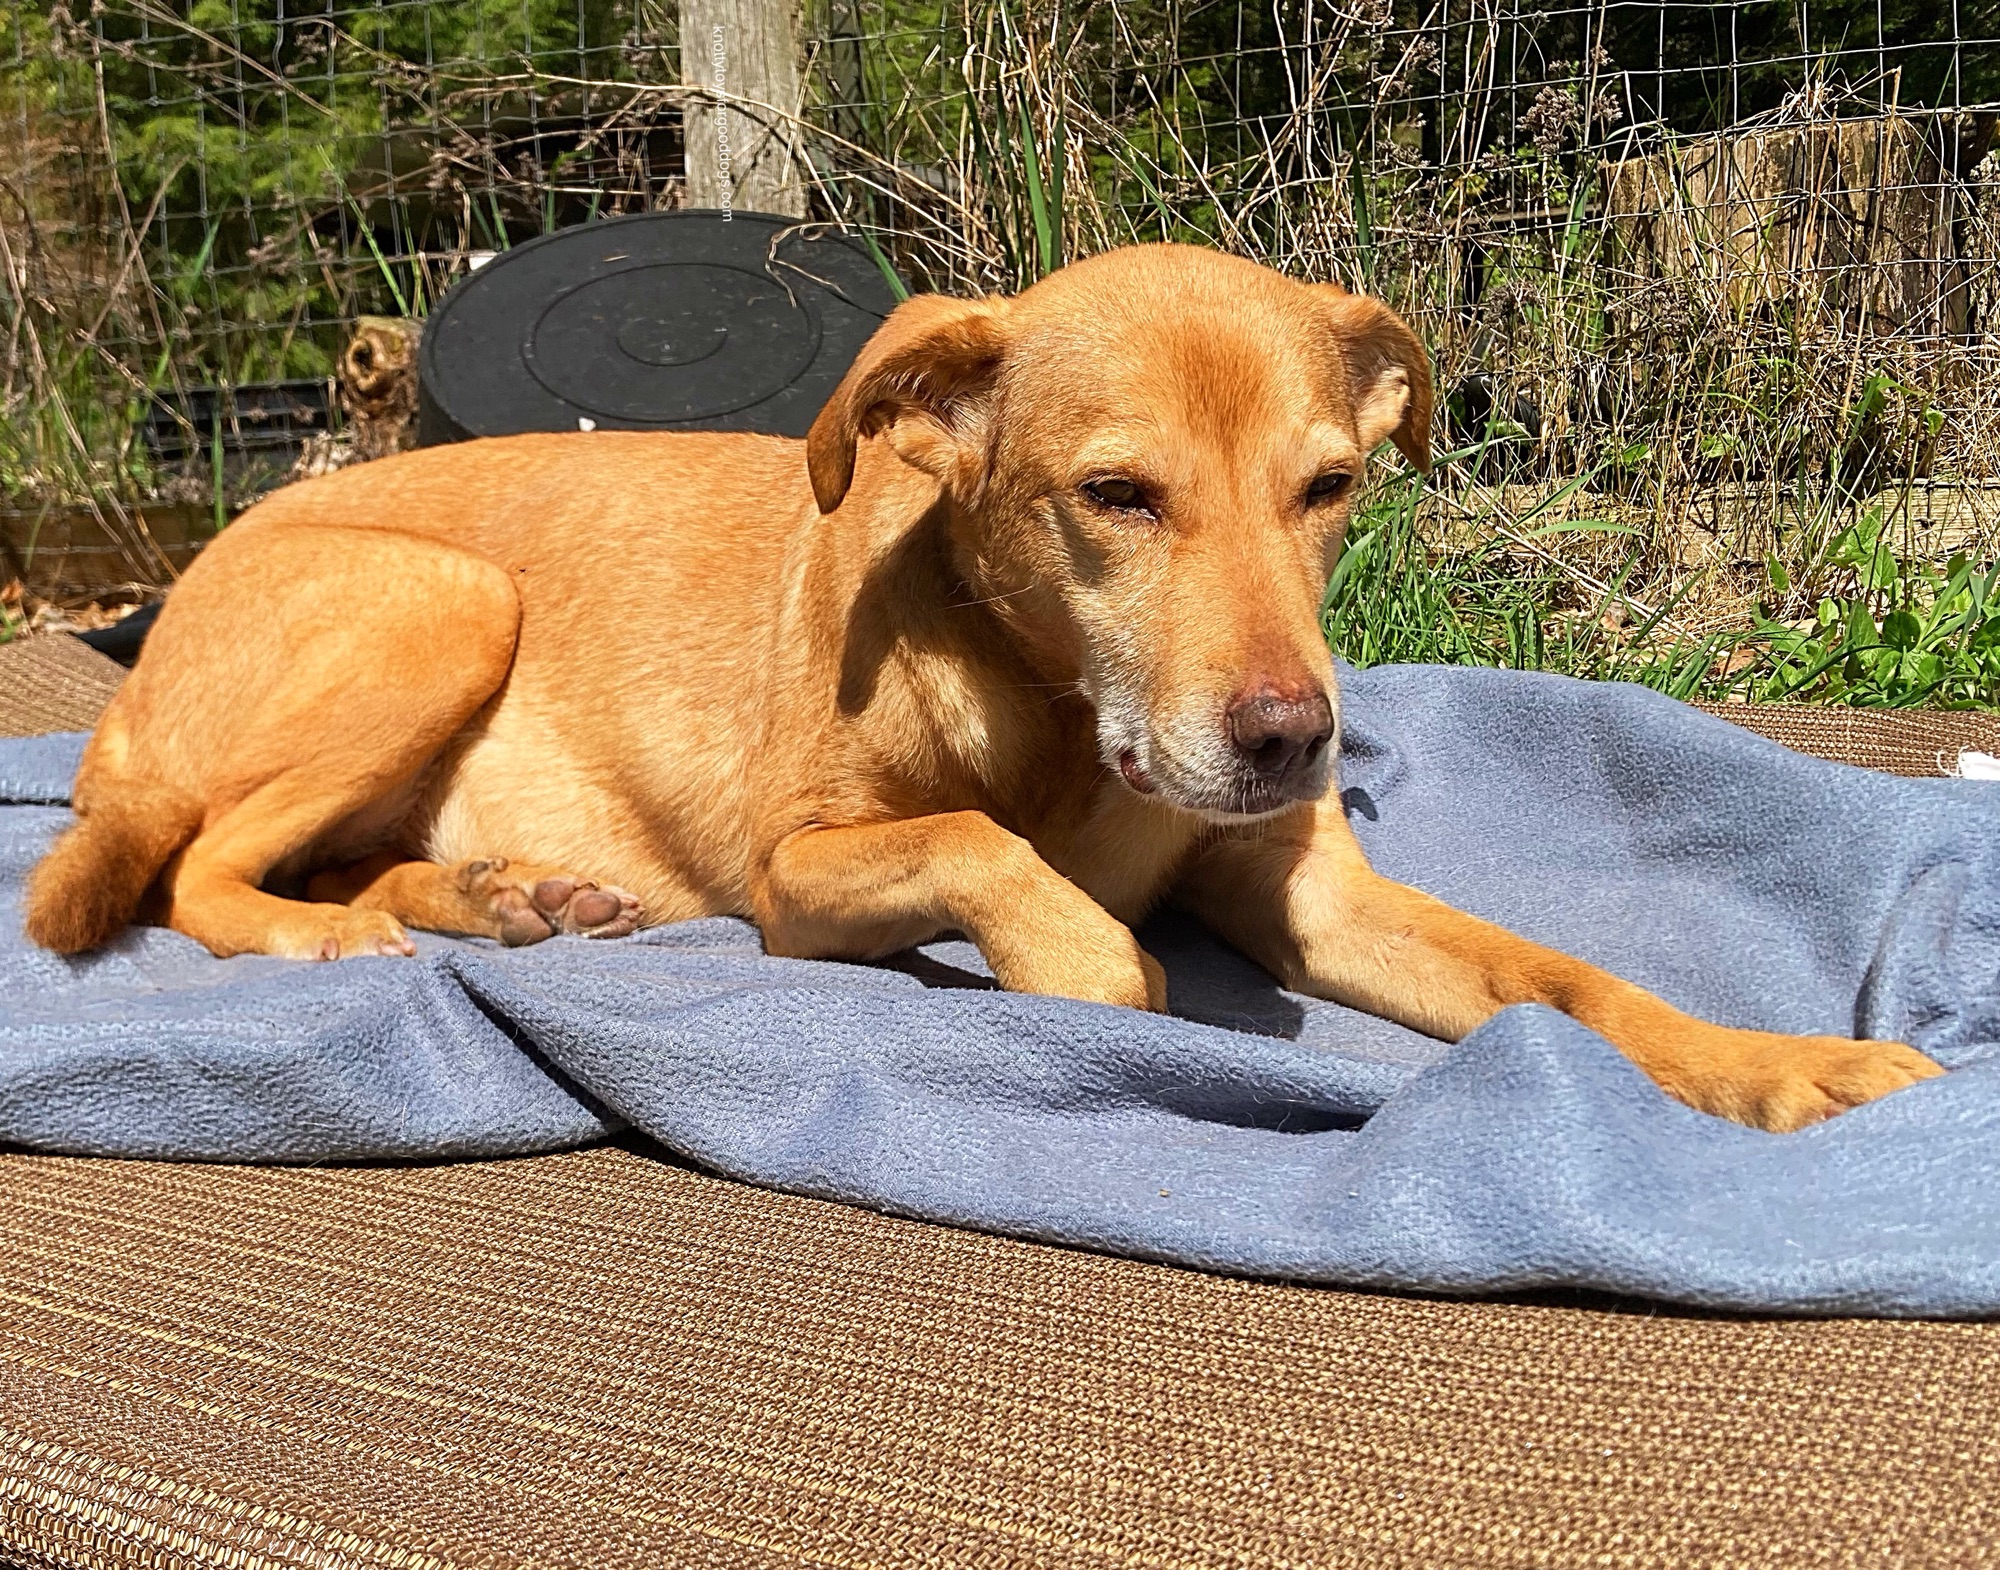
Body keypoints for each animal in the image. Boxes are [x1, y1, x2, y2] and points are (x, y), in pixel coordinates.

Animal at [26, 243, 1940, 1132]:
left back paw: (501, 895)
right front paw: (1096, 970)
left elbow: (1571, 980)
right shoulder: (800, 872)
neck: (1059, 719)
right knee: (199, 873)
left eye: (1329, 488)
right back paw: (344, 937)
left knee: (323, 852)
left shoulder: (1311, 891)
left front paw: (1783, 1068)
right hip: (442, 599)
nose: (1293, 739)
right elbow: (994, 861)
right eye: (1118, 495)